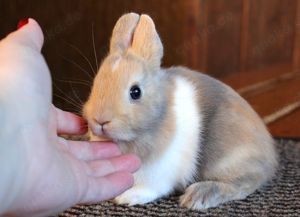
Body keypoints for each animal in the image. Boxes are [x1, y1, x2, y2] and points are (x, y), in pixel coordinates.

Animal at [81, 12, 278, 209]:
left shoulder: (159, 173)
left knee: (244, 183)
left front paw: (128, 197)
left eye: (135, 92)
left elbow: (152, 188)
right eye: (95, 84)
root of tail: (270, 155)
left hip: (231, 158)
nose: (100, 120)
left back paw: (198, 196)